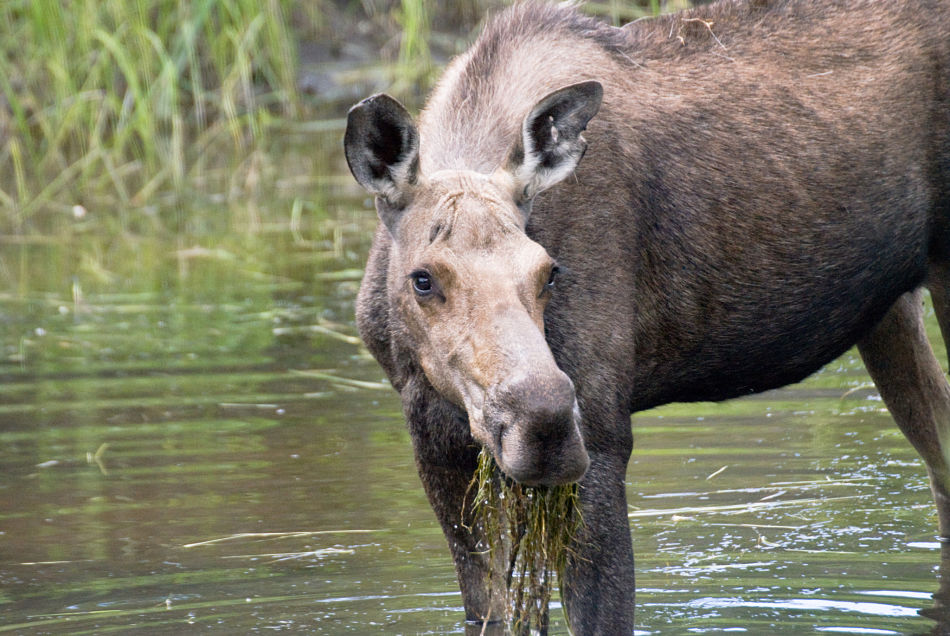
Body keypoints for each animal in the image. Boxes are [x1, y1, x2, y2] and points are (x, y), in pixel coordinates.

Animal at [342, 0, 950, 632]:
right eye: (423, 278)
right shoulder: (431, 432)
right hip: (888, 308)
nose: (545, 423)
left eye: (548, 271)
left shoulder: (601, 439)